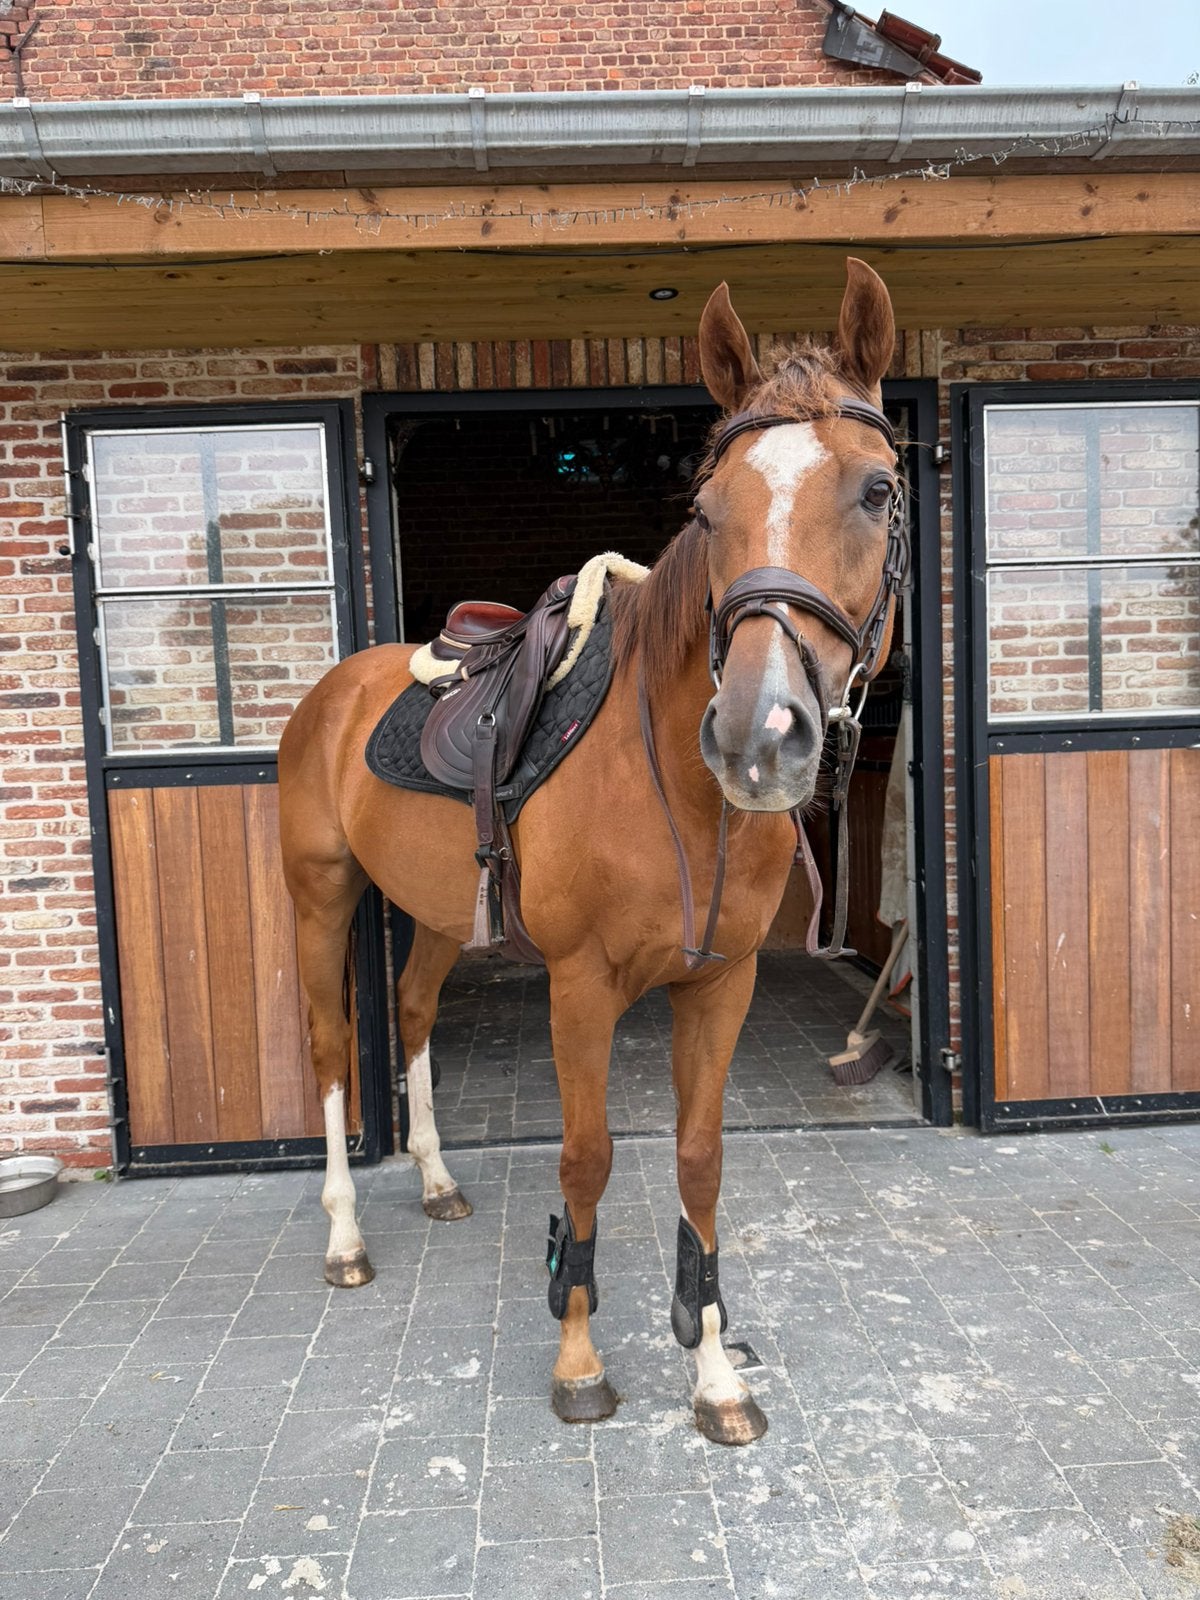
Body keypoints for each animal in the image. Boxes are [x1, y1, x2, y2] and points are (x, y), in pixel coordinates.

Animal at [278, 256, 902, 1446]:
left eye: (880, 493)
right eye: (706, 508)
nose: (759, 737)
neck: (677, 792)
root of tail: (333, 690)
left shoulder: (722, 983)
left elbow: (700, 1160)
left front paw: (714, 1371)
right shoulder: (580, 986)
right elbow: (587, 1156)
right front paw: (577, 1355)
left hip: (436, 914)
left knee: (413, 1010)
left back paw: (435, 1180)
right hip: (322, 896)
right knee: (334, 1047)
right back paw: (341, 1238)